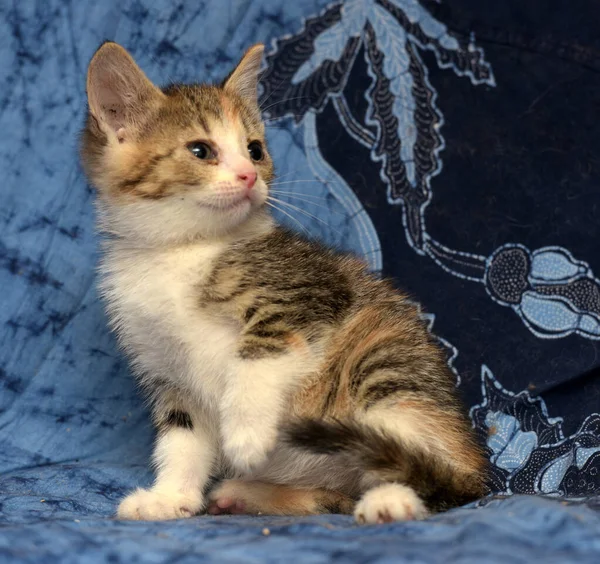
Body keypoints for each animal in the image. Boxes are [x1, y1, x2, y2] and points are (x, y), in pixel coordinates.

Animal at [79, 41, 488, 524]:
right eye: (200, 150)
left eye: (255, 150)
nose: (249, 176)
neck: (180, 249)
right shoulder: (166, 366)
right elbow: (184, 436)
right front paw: (171, 496)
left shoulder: (308, 291)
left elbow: (260, 353)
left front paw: (245, 433)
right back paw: (248, 495)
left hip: (384, 360)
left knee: (422, 467)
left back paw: (392, 499)